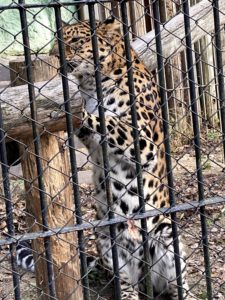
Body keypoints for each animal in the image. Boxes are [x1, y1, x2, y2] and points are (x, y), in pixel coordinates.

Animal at [16, 17, 195, 300]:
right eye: (57, 41)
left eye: (76, 41)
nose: (55, 56)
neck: (92, 84)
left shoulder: (143, 143)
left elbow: (106, 120)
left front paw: (77, 109)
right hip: (108, 243)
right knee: (127, 284)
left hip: (167, 233)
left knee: (178, 284)